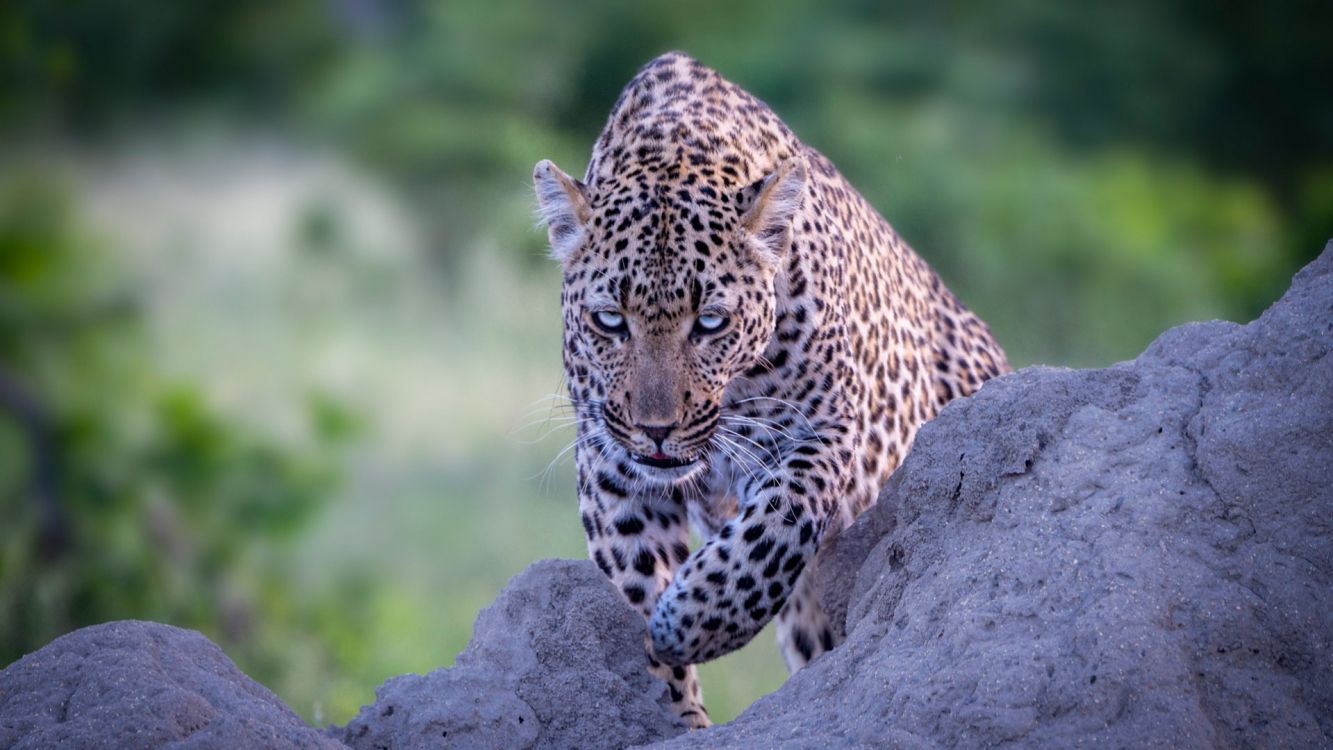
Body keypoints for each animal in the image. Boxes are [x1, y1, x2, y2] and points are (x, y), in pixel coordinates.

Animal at [532, 52, 1010, 728]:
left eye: (710, 323)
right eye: (609, 321)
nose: (656, 430)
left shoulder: (825, 430)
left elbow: (778, 524)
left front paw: (692, 623)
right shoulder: (611, 463)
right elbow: (636, 590)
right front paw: (672, 709)